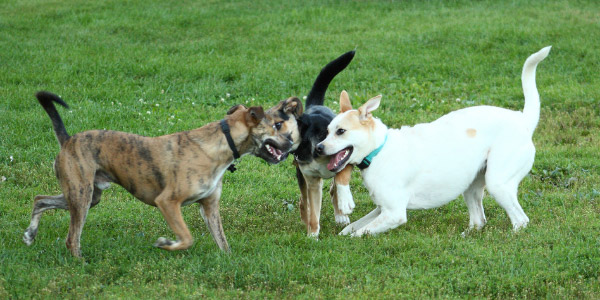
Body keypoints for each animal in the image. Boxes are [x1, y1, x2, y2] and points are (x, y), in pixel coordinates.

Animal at [24, 90, 302, 256]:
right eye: (276, 126)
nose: (292, 144)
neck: (222, 141)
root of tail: (67, 140)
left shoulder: (210, 207)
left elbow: (223, 242)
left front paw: (229, 262)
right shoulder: (168, 202)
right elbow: (187, 237)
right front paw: (166, 244)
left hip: (87, 195)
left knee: (40, 199)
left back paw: (30, 234)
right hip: (81, 195)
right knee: (72, 238)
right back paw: (80, 262)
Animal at [316, 45, 552, 236]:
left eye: (341, 131)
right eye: (326, 131)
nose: (318, 148)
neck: (379, 151)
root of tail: (522, 119)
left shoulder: (394, 213)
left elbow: (360, 233)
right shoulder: (381, 209)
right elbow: (352, 227)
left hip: (498, 183)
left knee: (521, 220)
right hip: (471, 186)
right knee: (479, 221)